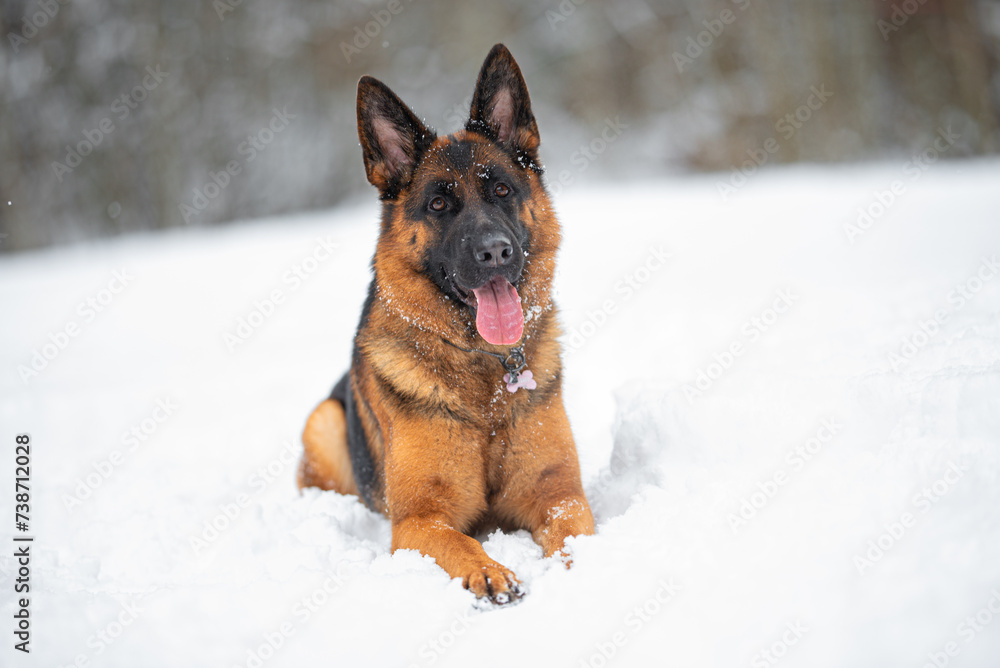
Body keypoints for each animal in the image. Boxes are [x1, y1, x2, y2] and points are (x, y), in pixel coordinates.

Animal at [296, 44, 592, 604]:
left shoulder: (559, 494)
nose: (495, 252)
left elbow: (574, 534)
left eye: (501, 190)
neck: (487, 376)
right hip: (322, 423)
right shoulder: (420, 522)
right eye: (438, 204)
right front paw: (489, 570)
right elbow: (459, 542)